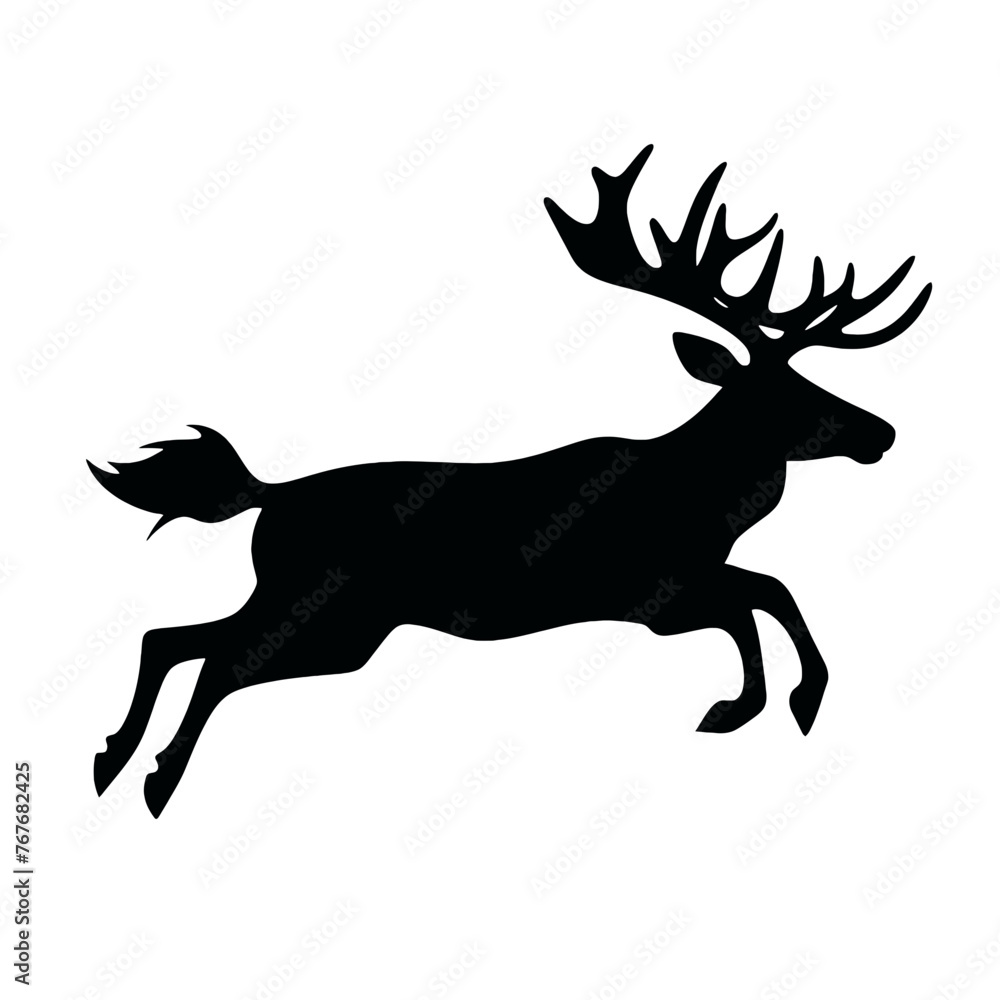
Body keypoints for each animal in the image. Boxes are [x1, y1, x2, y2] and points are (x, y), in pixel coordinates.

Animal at [89, 144, 931, 816]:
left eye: (812, 381)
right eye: (784, 395)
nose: (881, 434)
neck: (705, 501)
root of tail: (270, 496)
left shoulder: (687, 580)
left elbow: (766, 594)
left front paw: (774, 700)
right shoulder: (649, 593)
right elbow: (757, 600)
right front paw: (764, 701)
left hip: (325, 615)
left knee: (173, 638)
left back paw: (113, 758)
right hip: (334, 614)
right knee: (216, 659)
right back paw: (157, 779)